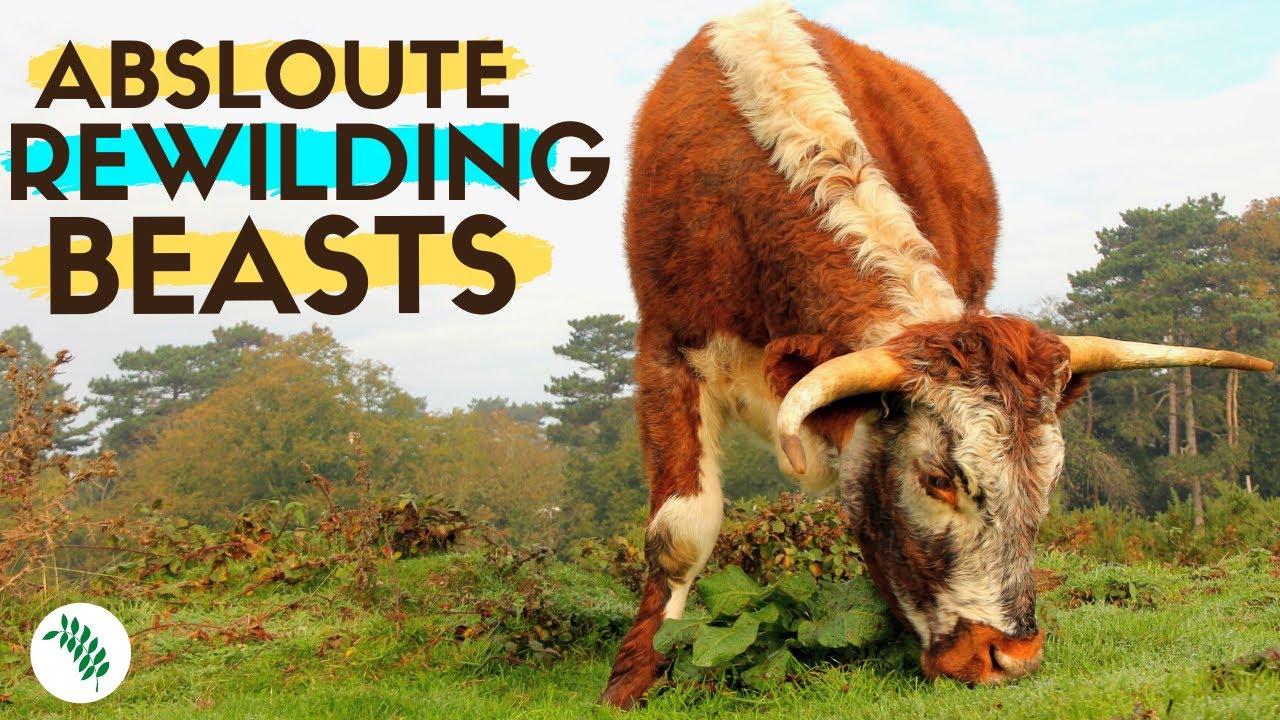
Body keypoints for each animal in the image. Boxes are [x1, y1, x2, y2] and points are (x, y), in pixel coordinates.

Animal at [598, 0, 1275, 709]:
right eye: (937, 480)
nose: (1011, 656)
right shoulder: (666, 350)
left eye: (1050, 482)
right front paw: (634, 677)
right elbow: (679, 531)